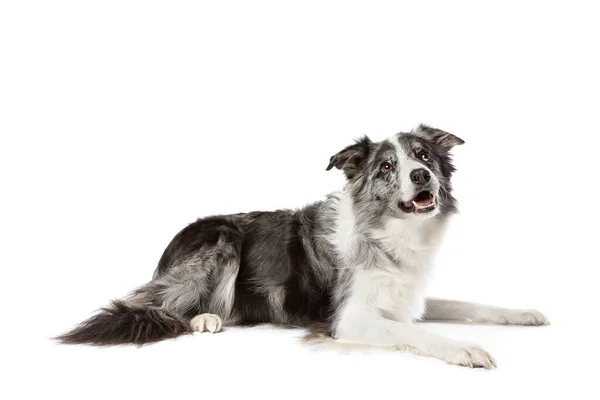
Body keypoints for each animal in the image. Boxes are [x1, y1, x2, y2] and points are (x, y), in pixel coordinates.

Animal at [57, 125, 548, 368]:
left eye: (424, 156)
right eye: (387, 167)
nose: (421, 176)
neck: (387, 232)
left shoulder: (407, 296)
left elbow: (471, 304)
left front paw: (525, 313)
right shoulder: (349, 319)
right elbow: (415, 333)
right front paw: (464, 349)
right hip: (221, 238)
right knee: (161, 304)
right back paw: (205, 318)